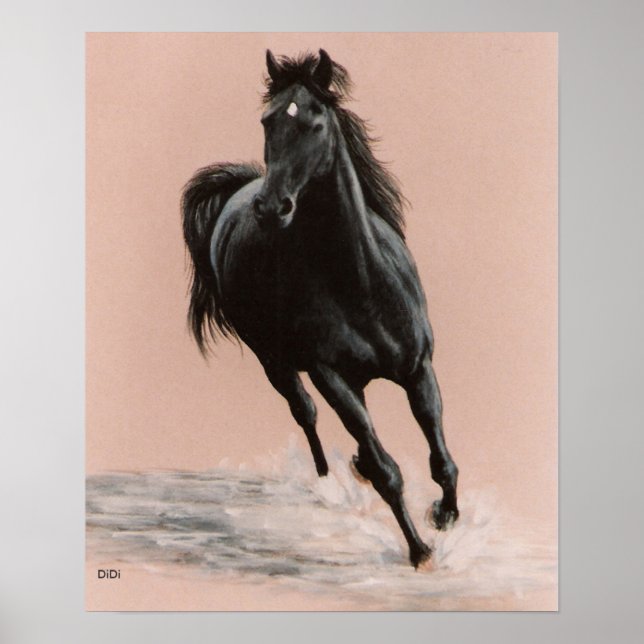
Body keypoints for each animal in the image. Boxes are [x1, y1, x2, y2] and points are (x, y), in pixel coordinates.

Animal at [182, 49, 459, 568]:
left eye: (315, 122)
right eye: (268, 120)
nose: (272, 208)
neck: (363, 286)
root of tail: (240, 188)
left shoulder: (418, 367)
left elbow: (440, 454)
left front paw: (445, 515)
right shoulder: (329, 376)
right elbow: (388, 470)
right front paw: (419, 551)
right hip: (275, 361)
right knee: (305, 412)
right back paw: (329, 481)